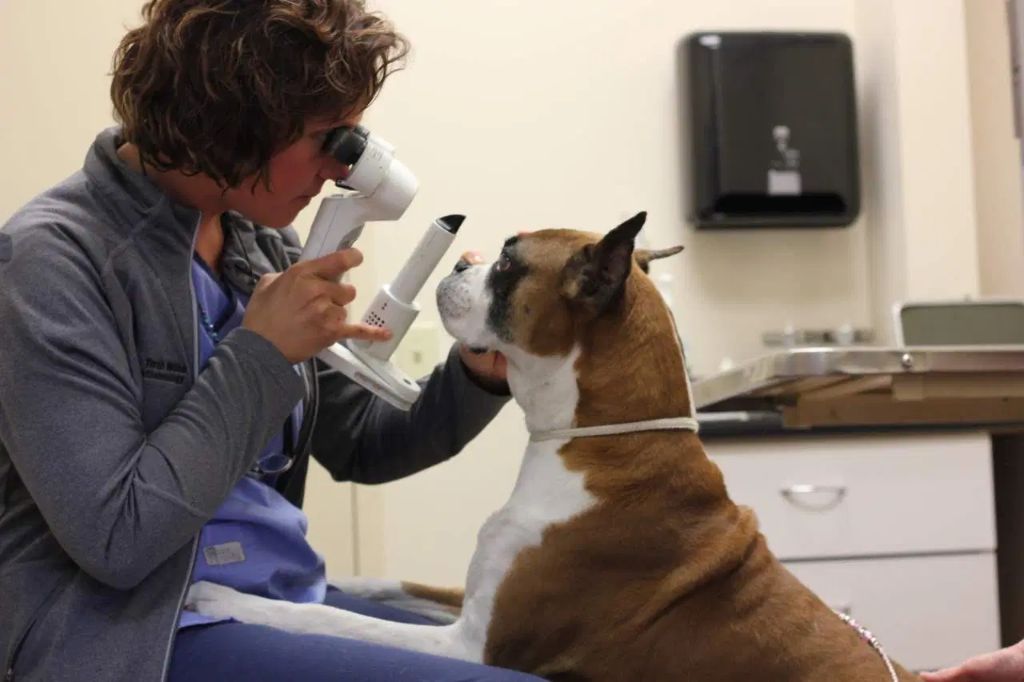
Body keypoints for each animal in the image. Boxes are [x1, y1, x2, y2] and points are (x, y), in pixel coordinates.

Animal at [186, 212, 921, 679]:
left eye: (509, 262)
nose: (462, 259)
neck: (597, 445)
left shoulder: (470, 647)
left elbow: (336, 624)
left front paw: (232, 602)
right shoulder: (473, 597)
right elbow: (389, 585)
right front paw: (341, 578)